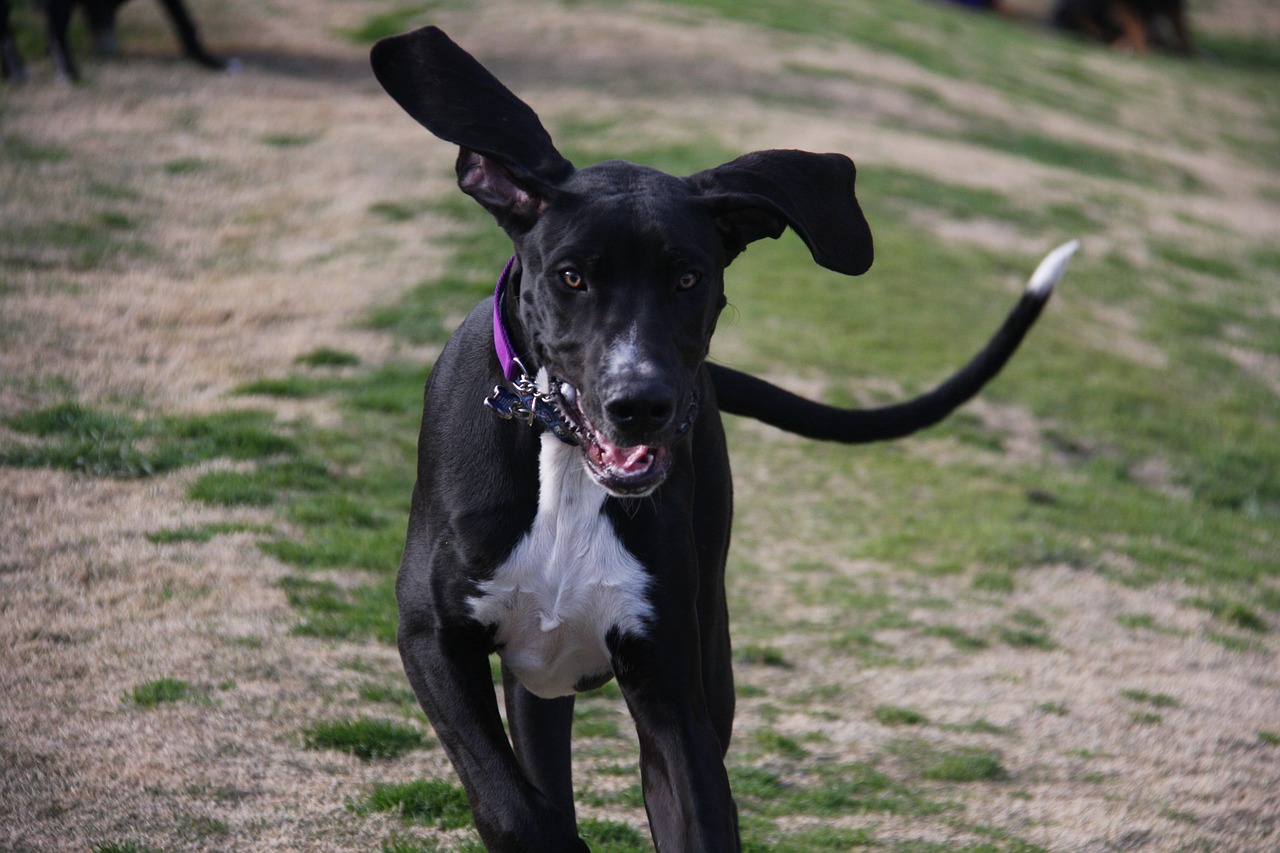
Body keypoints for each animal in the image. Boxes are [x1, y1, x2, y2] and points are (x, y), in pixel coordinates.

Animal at [373, 26, 1080, 850]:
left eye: (689, 278)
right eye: (571, 276)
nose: (641, 404)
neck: (567, 473)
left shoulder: (675, 697)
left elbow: (699, 811)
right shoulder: (430, 636)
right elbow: (511, 805)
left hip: (704, 649)